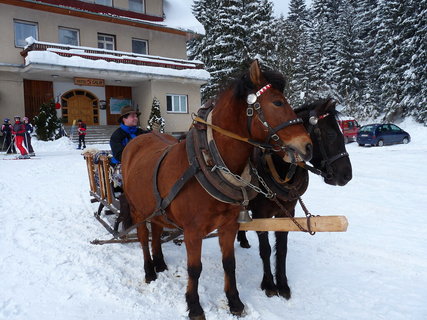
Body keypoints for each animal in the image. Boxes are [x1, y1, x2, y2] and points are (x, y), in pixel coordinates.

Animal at [122, 60, 312, 320]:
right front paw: (194, 306)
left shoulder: (229, 225)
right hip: (138, 209)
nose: (307, 146)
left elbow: (229, 263)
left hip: (157, 208)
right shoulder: (192, 231)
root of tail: (136, 141)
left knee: (158, 232)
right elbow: (194, 268)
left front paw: (235, 302)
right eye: (277, 102)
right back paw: (150, 271)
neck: (208, 161)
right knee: (143, 238)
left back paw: (160, 263)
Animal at [236, 99, 352, 298]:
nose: (347, 175)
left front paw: (282, 284)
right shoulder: (261, 213)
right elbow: (266, 249)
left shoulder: (287, 212)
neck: (278, 168)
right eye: (331, 134)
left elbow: (282, 249)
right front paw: (269, 284)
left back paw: (242, 240)